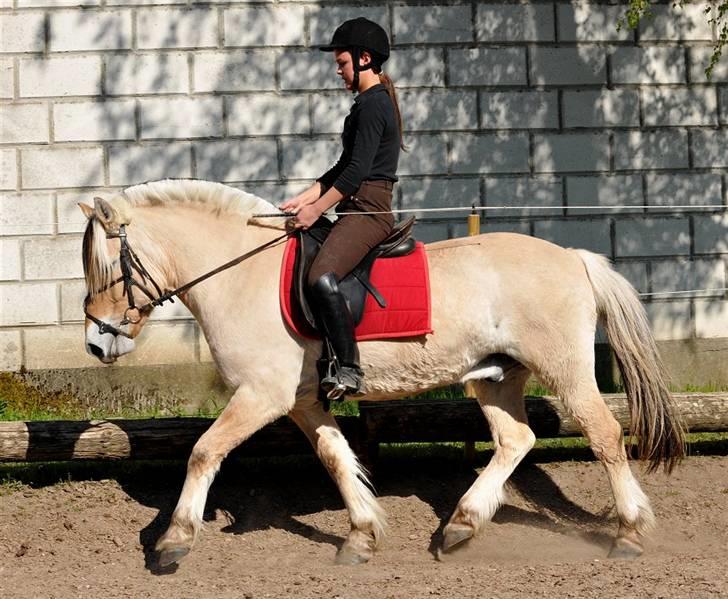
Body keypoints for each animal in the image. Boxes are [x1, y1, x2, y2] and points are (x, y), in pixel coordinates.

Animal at [79, 177, 684, 568]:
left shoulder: (261, 394)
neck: (241, 273)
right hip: (493, 376)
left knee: (603, 433)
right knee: (517, 438)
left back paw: (629, 534)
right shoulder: (301, 399)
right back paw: (461, 525)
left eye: (107, 268)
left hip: (564, 368)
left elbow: (204, 452)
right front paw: (362, 535)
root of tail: (574, 256)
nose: (96, 341)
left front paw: (174, 540)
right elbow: (335, 458)